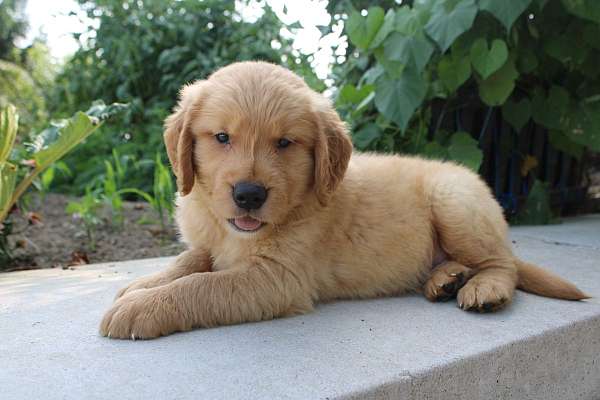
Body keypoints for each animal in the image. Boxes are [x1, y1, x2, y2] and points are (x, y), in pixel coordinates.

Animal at [101, 61, 588, 340]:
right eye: (221, 138)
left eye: (285, 143)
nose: (249, 194)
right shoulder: (210, 242)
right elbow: (189, 262)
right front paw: (143, 285)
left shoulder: (279, 278)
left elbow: (204, 285)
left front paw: (142, 307)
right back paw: (445, 278)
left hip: (455, 202)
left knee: (502, 263)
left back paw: (484, 287)